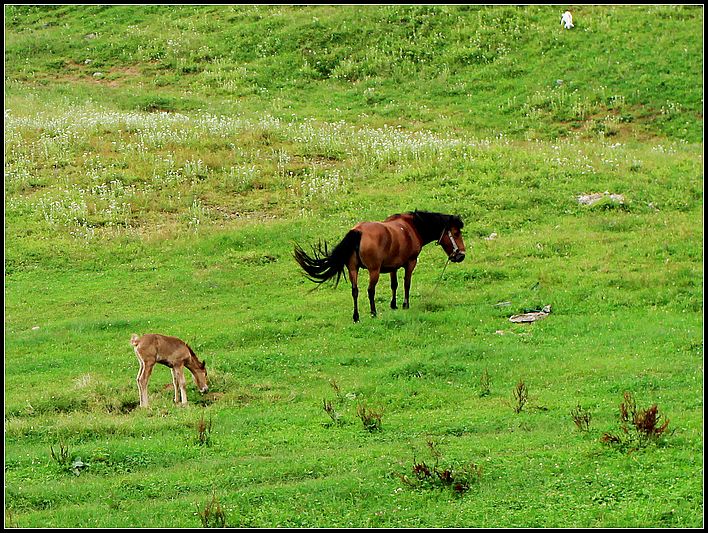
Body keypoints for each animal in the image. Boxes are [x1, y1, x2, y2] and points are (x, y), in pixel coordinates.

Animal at [294, 211, 464, 320]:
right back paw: (373, 312)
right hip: (373, 270)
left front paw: (393, 305)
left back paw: (356, 316)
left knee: (355, 291)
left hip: (353, 269)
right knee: (370, 290)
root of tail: (358, 231)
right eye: (456, 233)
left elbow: (394, 285)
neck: (411, 227)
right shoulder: (410, 263)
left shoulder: (393, 267)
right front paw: (405, 305)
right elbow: (406, 284)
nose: (461, 255)